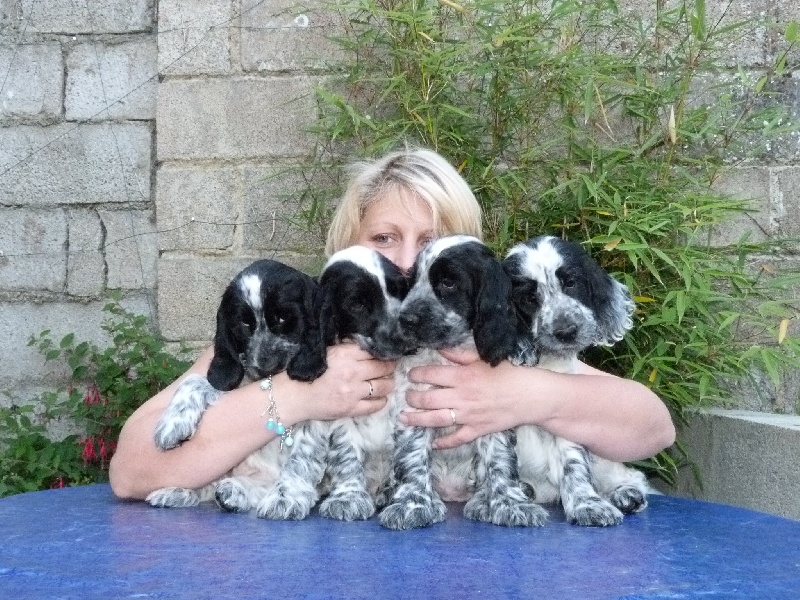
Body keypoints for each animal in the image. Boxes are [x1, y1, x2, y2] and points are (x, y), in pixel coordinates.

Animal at [146, 258, 328, 516]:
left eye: (283, 319)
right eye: (244, 323)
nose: (265, 367)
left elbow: (302, 457)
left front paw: (286, 498)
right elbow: (195, 380)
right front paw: (172, 424)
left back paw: (236, 493)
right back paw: (177, 492)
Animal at [378, 237, 548, 532]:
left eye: (448, 283)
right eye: (412, 281)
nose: (405, 319)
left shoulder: (494, 416)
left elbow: (500, 460)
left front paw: (511, 504)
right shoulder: (413, 407)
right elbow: (413, 456)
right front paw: (412, 505)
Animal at [506, 234, 648, 524]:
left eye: (571, 283)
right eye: (529, 298)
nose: (567, 331)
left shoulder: (564, 414)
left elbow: (574, 464)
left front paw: (587, 505)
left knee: (630, 474)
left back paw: (626, 493)